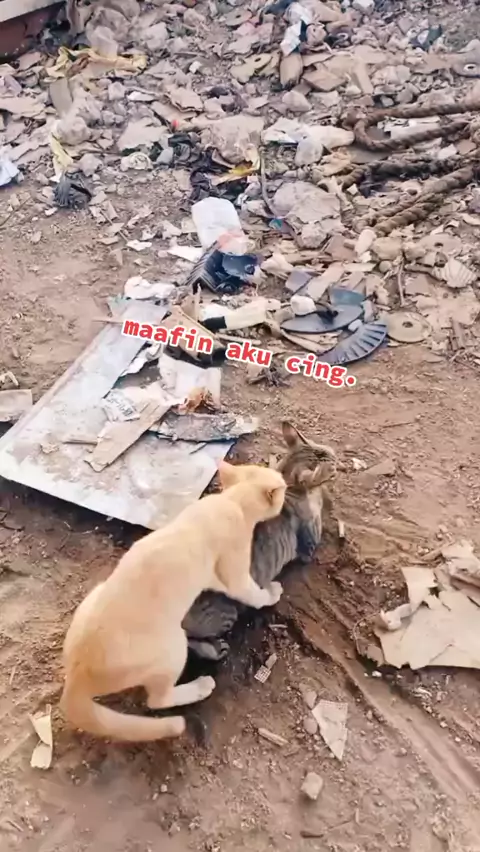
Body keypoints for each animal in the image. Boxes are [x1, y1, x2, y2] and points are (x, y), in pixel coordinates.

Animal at [60, 462, 287, 743]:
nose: (285, 483)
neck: (230, 501)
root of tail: (75, 679)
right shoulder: (235, 574)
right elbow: (253, 593)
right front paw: (272, 592)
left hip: (94, 596)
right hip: (172, 648)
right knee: (157, 700)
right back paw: (200, 686)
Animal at [183, 422, 338, 661]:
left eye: (327, 451)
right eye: (329, 465)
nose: (338, 461)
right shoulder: (310, 545)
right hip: (228, 611)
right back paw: (215, 650)